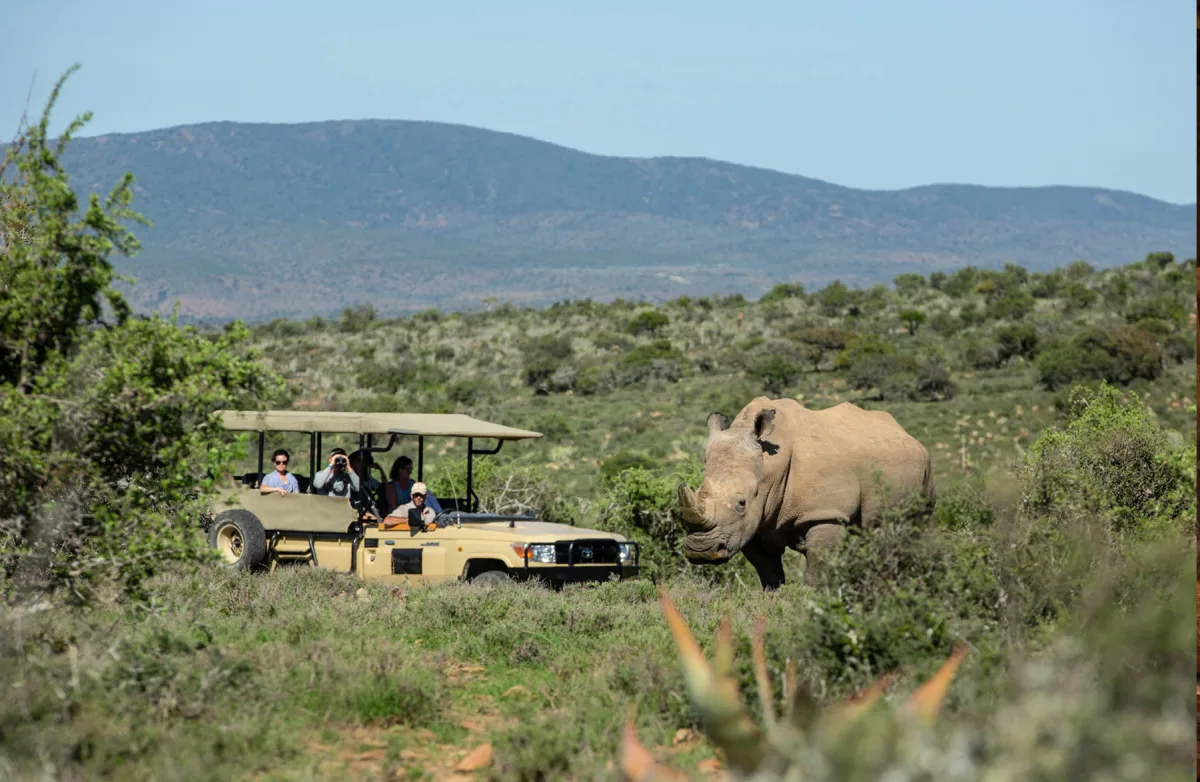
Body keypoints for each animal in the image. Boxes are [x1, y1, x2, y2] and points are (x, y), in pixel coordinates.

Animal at [678, 396, 936, 589]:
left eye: (741, 502)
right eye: (698, 492)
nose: (701, 551)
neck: (770, 467)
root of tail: (906, 433)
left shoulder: (826, 513)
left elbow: (816, 571)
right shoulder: (748, 525)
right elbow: (769, 573)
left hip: (926, 469)